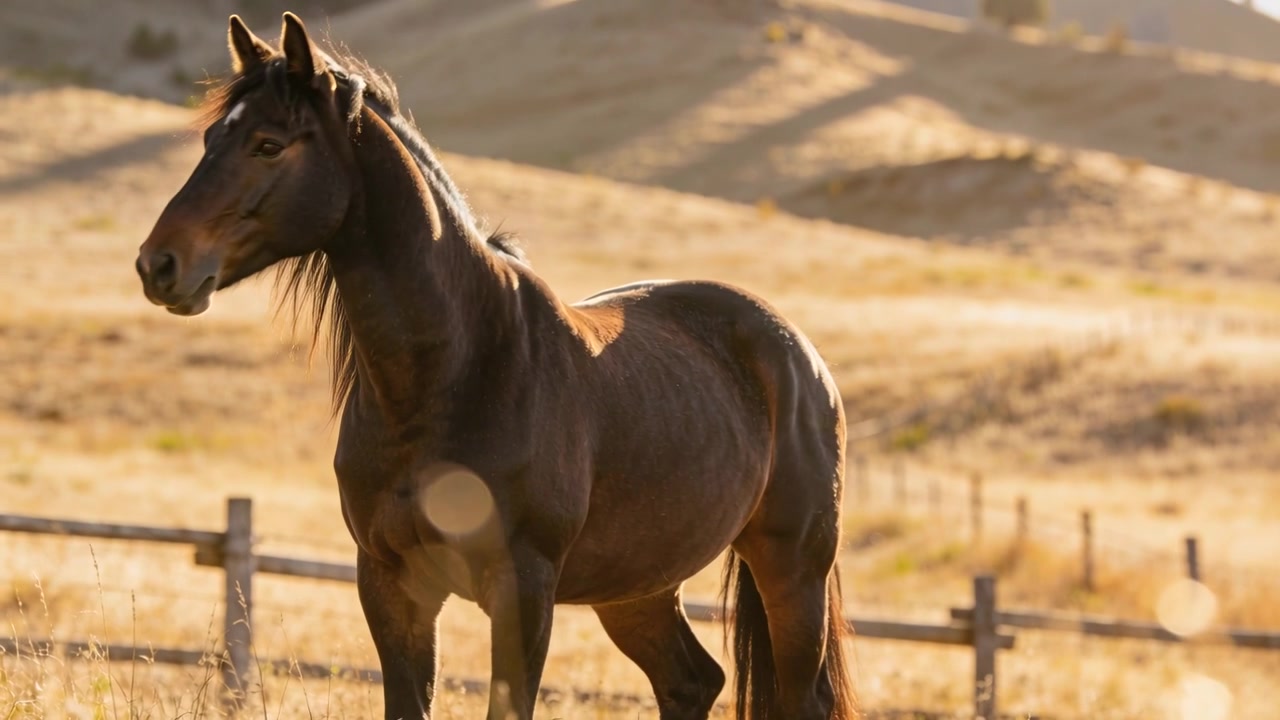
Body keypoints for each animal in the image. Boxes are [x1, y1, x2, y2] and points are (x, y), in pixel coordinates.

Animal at [134, 12, 859, 720]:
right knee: (690, 682)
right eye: (211, 140)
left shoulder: (522, 593)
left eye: (268, 144)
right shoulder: (391, 587)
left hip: (791, 571)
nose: (159, 264)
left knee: (800, 697)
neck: (455, 371)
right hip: (638, 587)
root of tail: (801, 357)